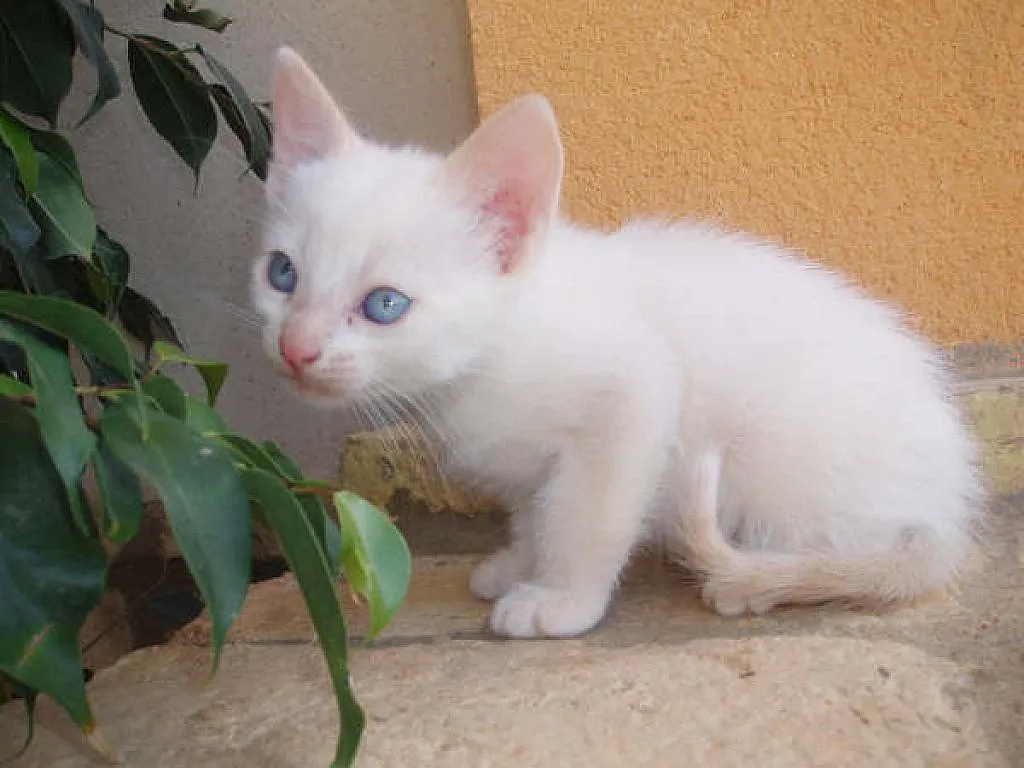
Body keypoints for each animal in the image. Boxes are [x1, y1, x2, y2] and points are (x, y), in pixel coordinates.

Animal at [253, 45, 983, 638]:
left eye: (385, 305)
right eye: (281, 273)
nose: (296, 348)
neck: (494, 355)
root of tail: (945, 507)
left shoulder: (633, 394)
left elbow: (586, 513)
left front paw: (560, 599)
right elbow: (536, 506)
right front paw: (520, 561)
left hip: (784, 461)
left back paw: (756, 580)